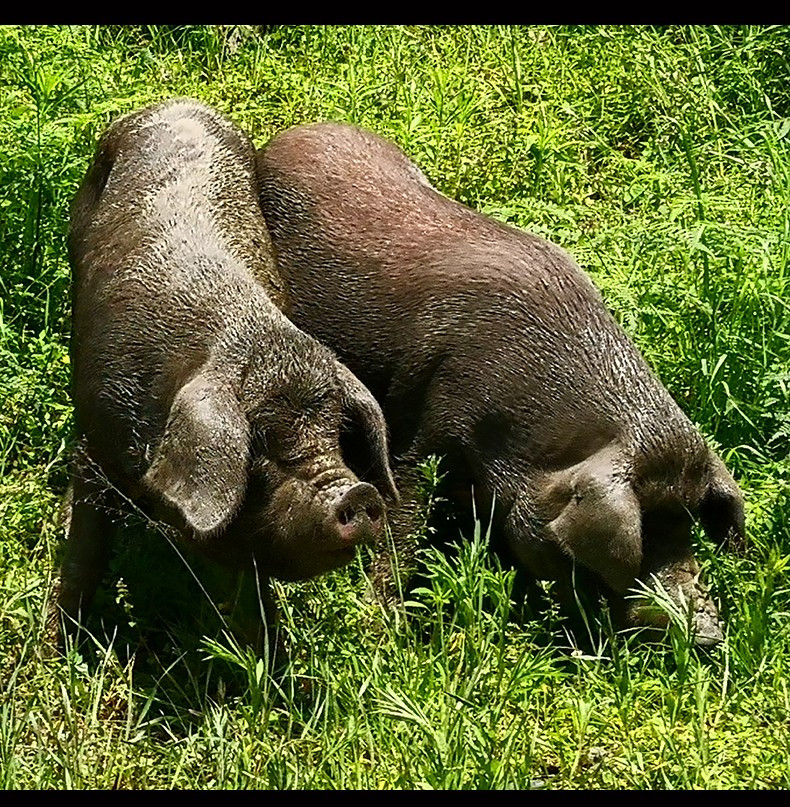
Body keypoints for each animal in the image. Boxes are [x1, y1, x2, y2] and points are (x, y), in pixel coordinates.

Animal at [48, 101, 396, 652]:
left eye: (337, 434)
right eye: (261, 447)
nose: (357, 493)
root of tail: (176, 101)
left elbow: (253, 593)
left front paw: (266, 659)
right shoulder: (99, 433)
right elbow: (86, 552)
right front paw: (59, 647)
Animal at [256, 121, 744, 652]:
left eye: (690, 527)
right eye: (641, 537)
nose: (710, 634)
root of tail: (291, 135)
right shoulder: (432, 418)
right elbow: (405, 514)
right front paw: (385, 629)